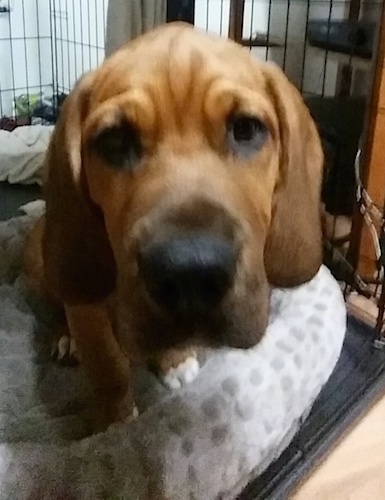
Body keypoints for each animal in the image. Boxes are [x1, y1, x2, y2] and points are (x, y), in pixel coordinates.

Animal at [24, 22, 322, 430]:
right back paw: (65, 338)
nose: (190, 274)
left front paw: (175, 360)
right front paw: (115, 421)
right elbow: (108, 367)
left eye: (246, 129)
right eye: (115, 140)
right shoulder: (88, 311)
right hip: (44, 266)